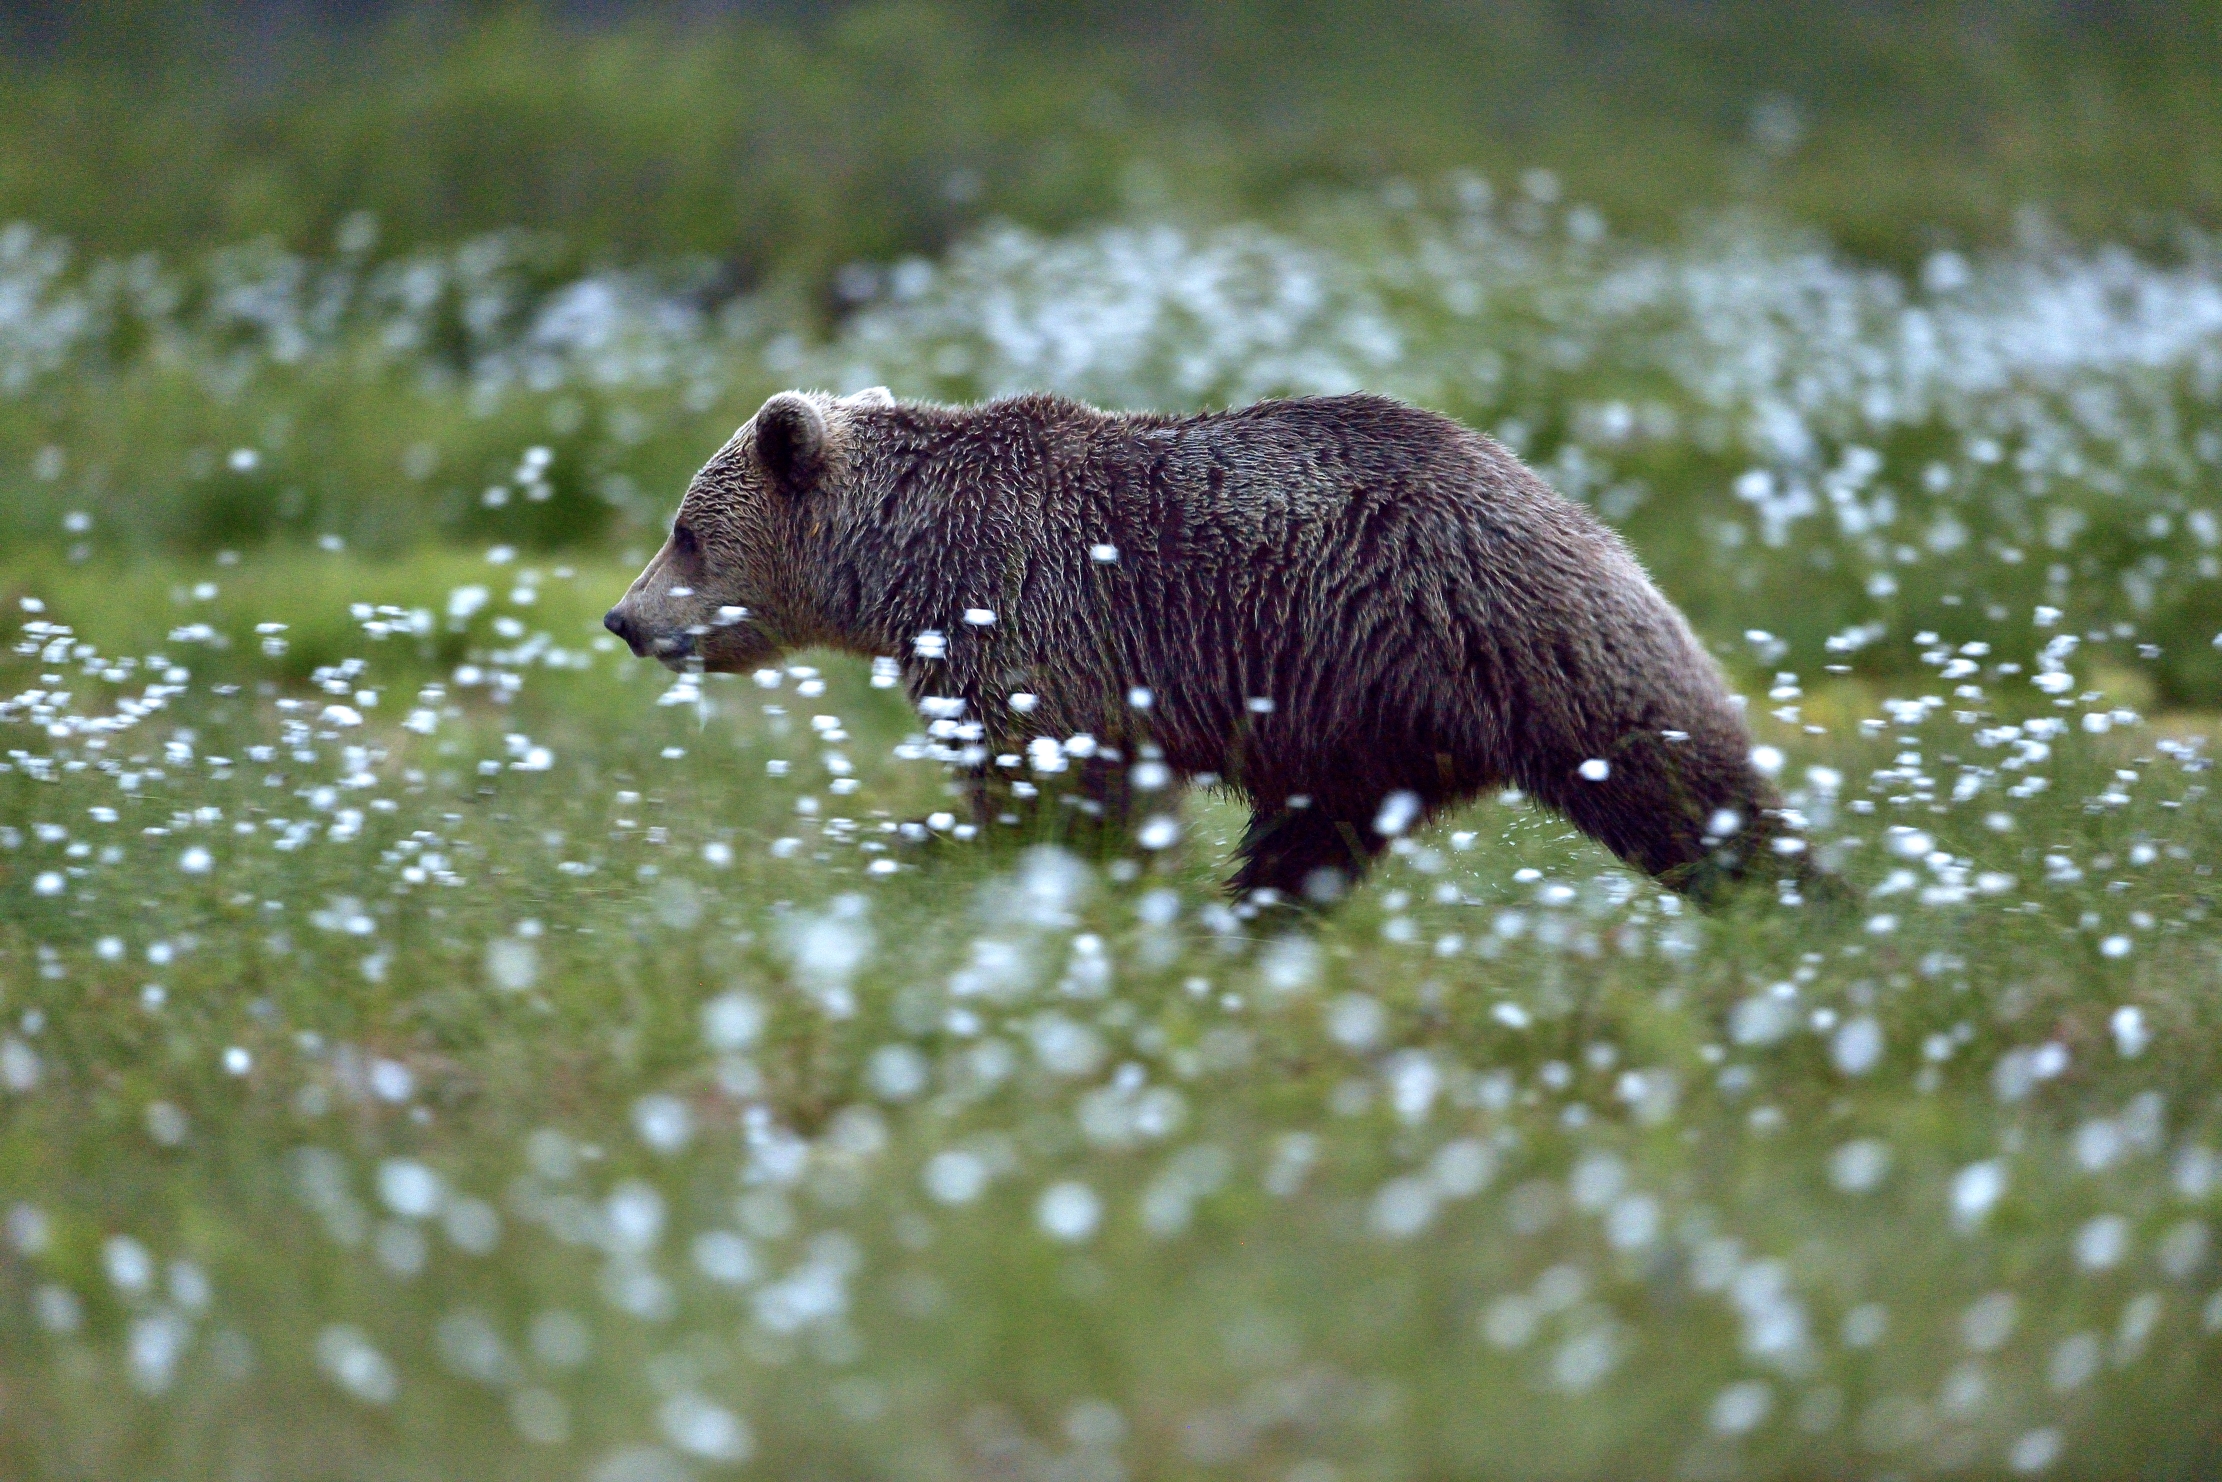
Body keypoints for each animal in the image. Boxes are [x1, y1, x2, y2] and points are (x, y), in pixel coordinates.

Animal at [605, 387, 1810, 906]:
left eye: (684, 530)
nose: (623, 618)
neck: (904, 566)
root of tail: (1580, 513)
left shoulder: (1030, 624)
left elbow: (1050, 786)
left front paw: (945, 856)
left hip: (1506, 636)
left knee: (1677, 779)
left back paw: (1790, 904)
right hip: (1368, 724)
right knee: (1310, 839)